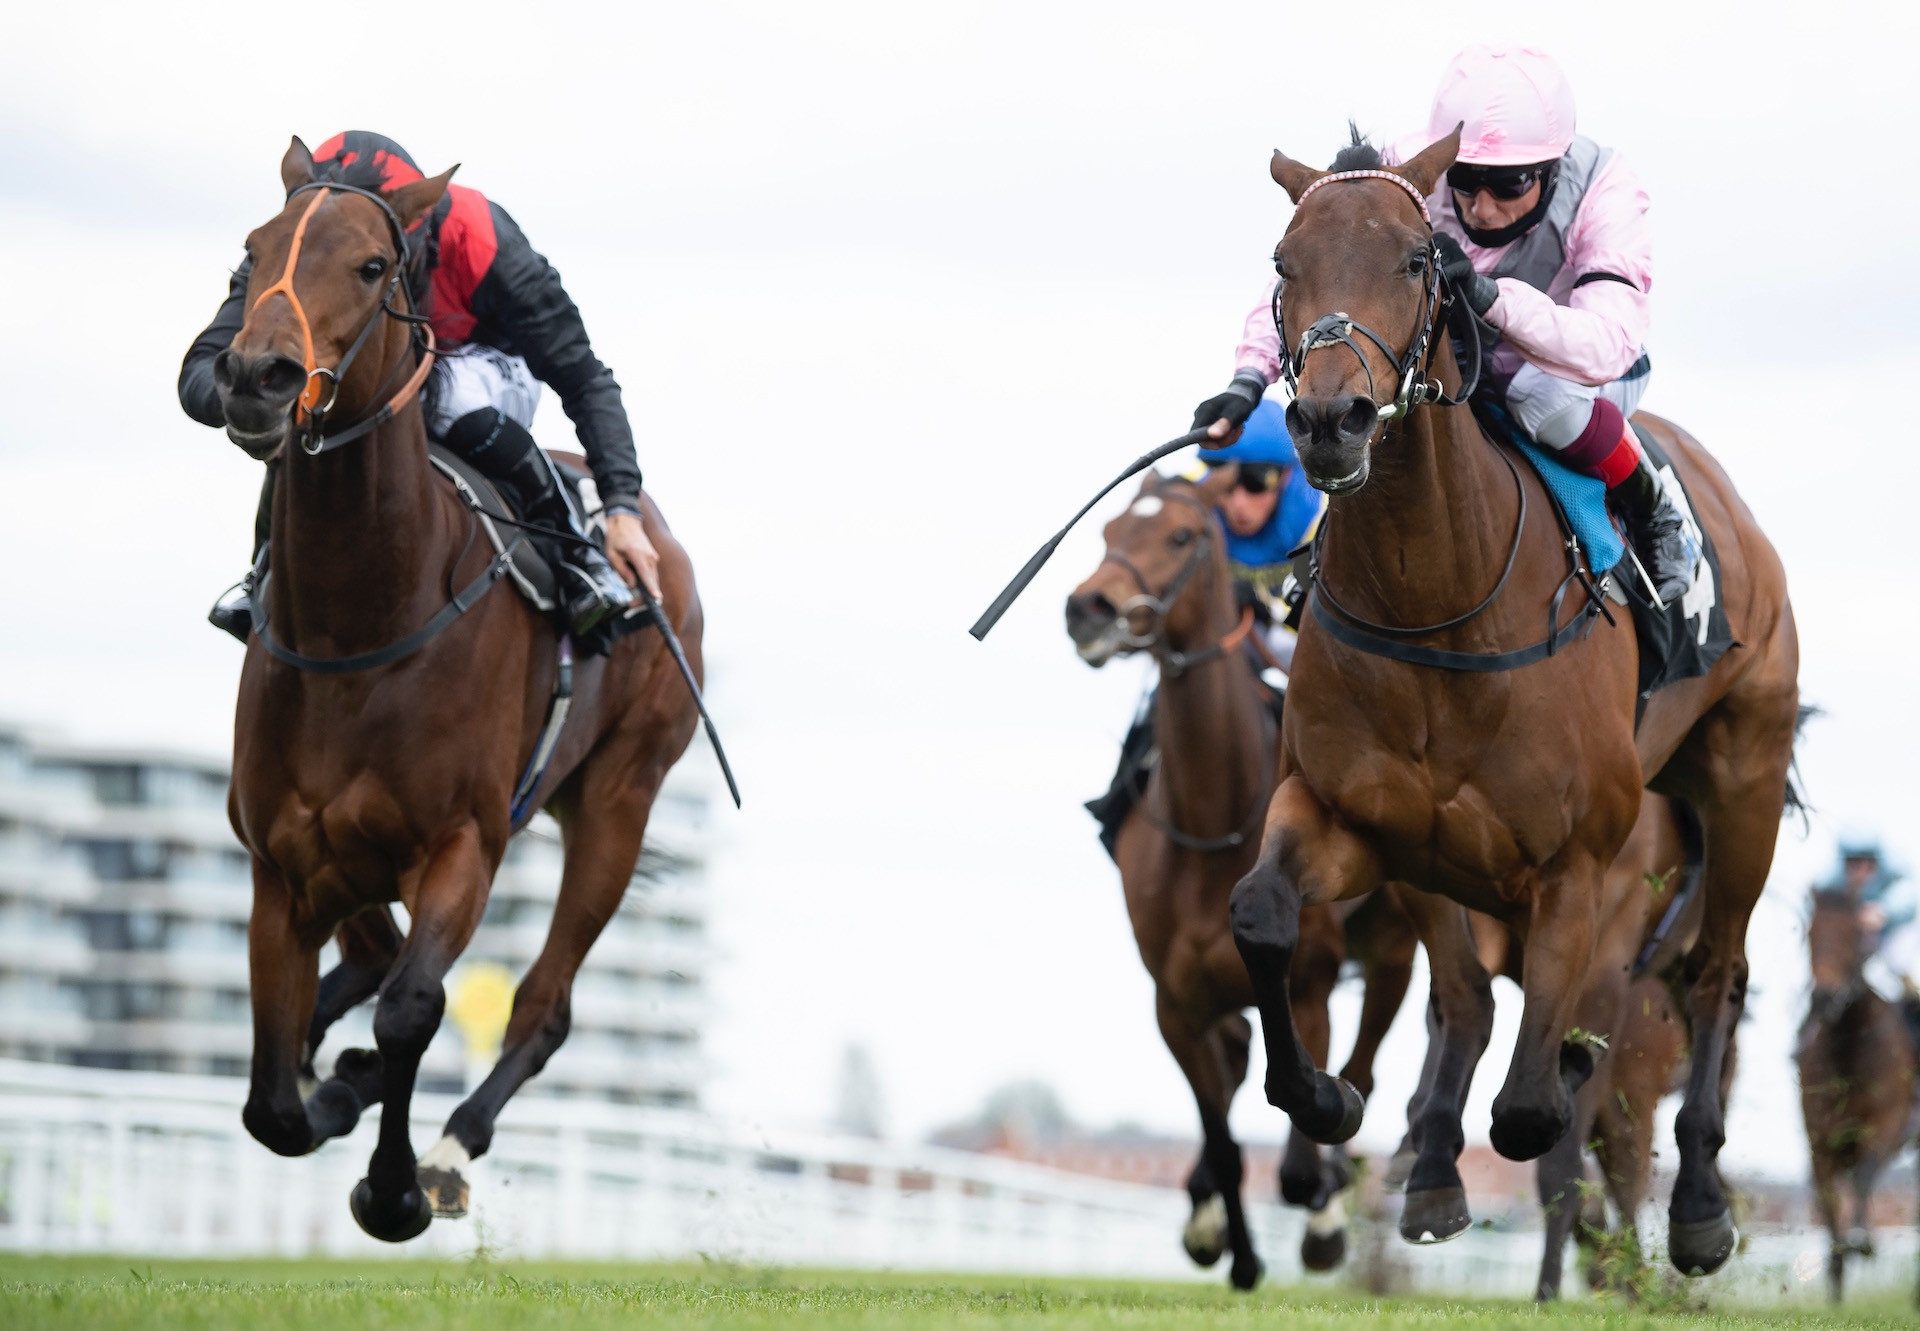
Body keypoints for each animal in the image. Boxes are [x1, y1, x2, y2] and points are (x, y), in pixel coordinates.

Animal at [212, 140, 706, 1244]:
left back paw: (444, 1148)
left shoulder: (463, 844)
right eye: (252, 252)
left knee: (542, 1004)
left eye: (369, 267)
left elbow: (414, 1007)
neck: (361, 620)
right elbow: (272, 1101)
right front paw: (331, 1085)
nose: (258, 376)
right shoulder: (282, 859)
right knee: (375, 957)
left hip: (617, 802)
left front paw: (393, 1185)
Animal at [1067, 470, 1482, 1290]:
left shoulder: (1311, 986)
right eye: (1107, 532)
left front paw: (1321, 1216)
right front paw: (1228, 1246)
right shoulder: (1176, 1005)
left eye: (1180, 536)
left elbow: (1296, 1158)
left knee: (1365, 1066)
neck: (1215, 817)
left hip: (1389, 952)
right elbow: (1225, 1140)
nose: (1088, 608)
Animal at [1228, 126, 1797, 1275]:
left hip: (1743, 780)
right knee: (1463, 995)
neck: (1438, 601)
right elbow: (1265, 912)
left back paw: (1699, 1203)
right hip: (1441, 860)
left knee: (1717, 969)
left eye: (1417, 259)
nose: (1329, 418)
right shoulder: (1354, 817)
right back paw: (1434, 1164)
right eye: (1282, 263)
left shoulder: (1579, 863)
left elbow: (1537, 1100)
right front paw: (1331, 1102)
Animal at [1797, 883, 1920, 1298]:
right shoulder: (1820, 1141)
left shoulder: (1886, 1124)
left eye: (1854, 934)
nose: (1825, 997)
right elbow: (1829, 1205)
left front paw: (1862, 1239)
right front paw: (1837, 1265)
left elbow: (1864, 1176)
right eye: (1810, 934)